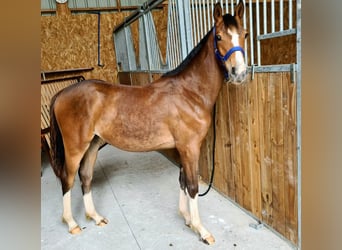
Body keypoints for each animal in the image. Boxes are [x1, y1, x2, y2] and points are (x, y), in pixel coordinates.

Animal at [49, 0, 248, 245]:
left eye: (245, 34)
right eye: (219, 37)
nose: (239, 73)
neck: (190, 92)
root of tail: (61, 93)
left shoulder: (182, 148)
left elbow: (182, 181)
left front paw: (187, 219)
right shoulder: (190, 147)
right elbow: (192, 186)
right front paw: (201, 230)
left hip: (93, 144)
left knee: (85, 177)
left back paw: (95, 217)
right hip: (75, 147)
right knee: (67, 179)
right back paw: (72, 223)